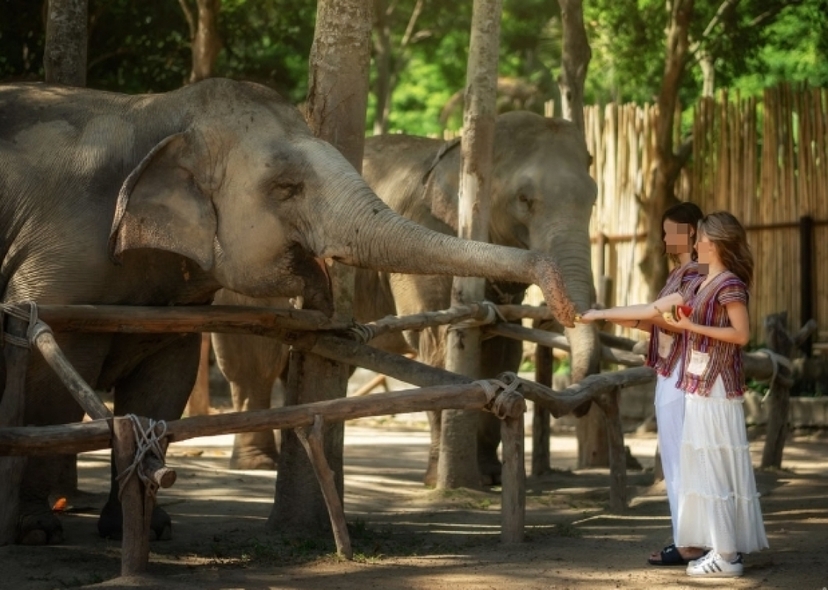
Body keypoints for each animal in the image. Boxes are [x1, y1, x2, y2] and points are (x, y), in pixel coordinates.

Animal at [212, 110, 601, 485]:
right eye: (524, 199)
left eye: (595, 197)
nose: (567, 312)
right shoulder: (429, 241)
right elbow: (437, 346)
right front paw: (440, 481)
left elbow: (504, 350)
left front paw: (489, 476)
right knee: (253, 364)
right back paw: (258, 463)